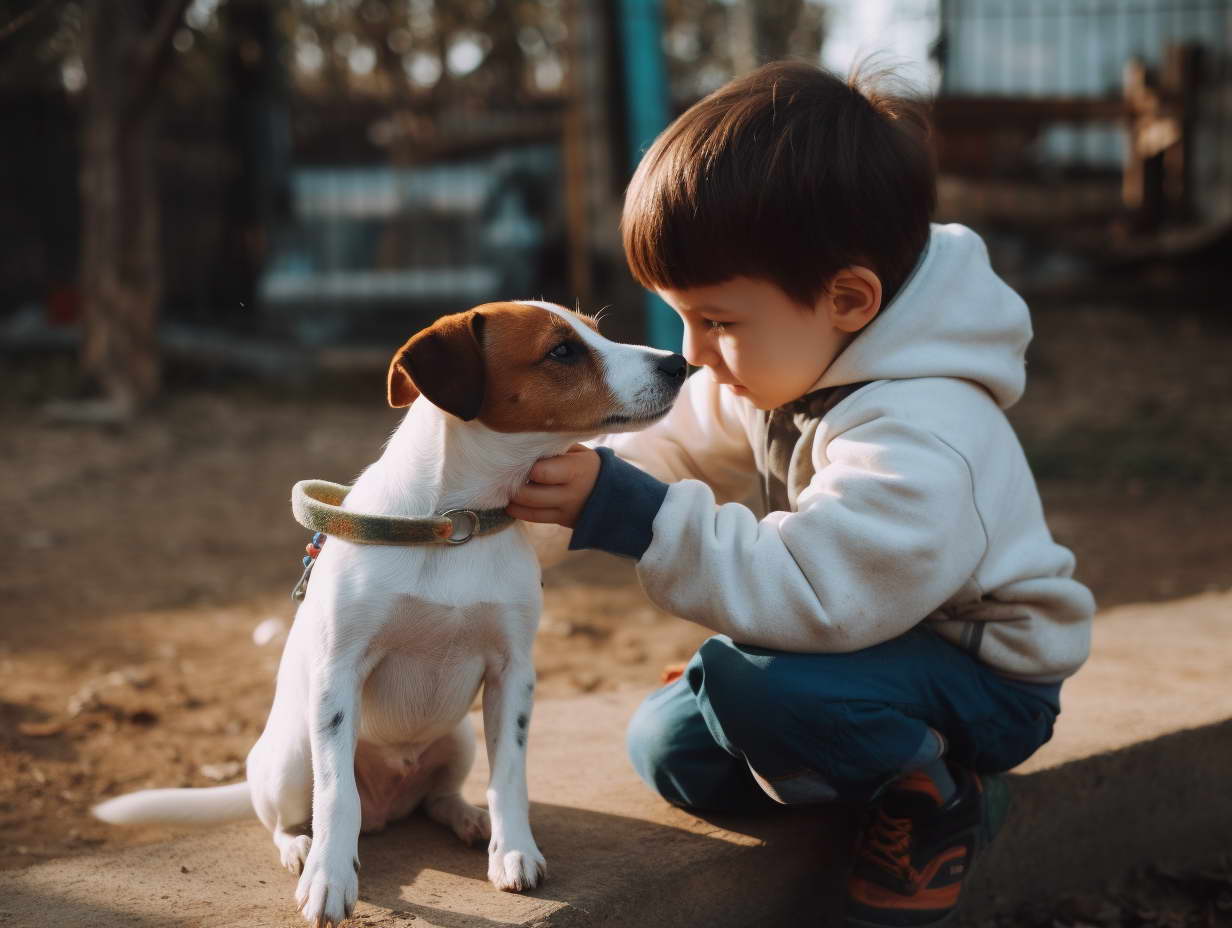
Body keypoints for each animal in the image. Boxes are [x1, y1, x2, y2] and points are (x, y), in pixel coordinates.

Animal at [93, 300, 694, 921]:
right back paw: (301, 847)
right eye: (562, 351)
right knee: (292, 815)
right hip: (292, 752)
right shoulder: (339, 673)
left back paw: (469, 818)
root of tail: (387, 805)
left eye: (595, 332)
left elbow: (510, 774)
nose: (679, 364)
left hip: (459, 737)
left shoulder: (514, 674)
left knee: (437, 797)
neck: (456, 523)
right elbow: (336, 793)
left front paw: (514, 850)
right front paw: (329, 878)